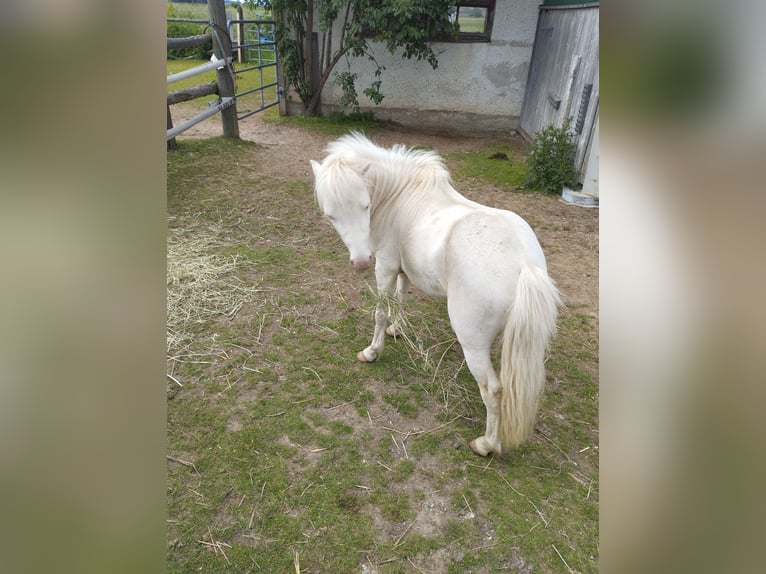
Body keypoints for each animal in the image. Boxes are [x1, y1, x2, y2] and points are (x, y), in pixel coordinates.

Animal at [310, 132, 561, 456]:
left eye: (365, 206)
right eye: (331, 216)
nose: (361, 261)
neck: (400, 196)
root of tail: (524, 264)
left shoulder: (385, 266)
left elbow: (380, 311)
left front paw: (372, 351)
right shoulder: (402, 269)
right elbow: (401, 299)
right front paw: (398, 329)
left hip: (472, 341)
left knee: (493, 389)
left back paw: (486, 444)